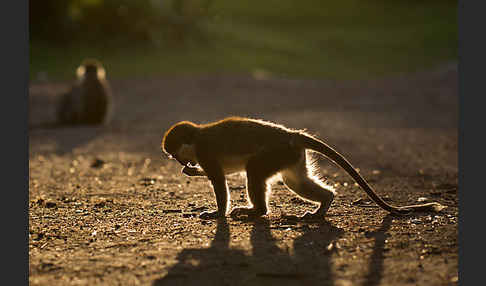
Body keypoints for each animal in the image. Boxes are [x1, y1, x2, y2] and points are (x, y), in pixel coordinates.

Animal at [161, 116, 446, 219]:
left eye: (174, 154)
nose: (180, 161)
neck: (197, 136)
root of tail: (291, 135)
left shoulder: (205, 152)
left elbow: (220, 179)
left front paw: (218, 213)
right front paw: (192, 171)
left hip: (277, 152)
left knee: (255, 170)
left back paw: (258, 211)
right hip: (291, 156)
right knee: (295, 181)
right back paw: (325, 203)